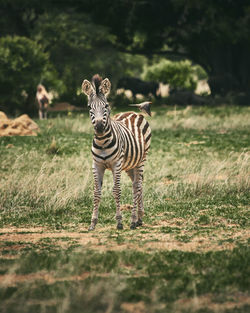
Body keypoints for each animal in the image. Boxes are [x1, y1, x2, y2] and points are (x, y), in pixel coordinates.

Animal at [82, 73, 151, 229]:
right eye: (89, 107)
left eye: (106, 105)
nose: (99, 127)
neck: (102, 142)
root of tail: (132, 112)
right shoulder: (97, 165)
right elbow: (96, 192)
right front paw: (93, 222)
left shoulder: (116, 165)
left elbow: (116, 190)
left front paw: (119, 221)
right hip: (131, 165)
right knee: (137, 184)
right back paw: (139, 218)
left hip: (142, 159)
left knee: (137, 185)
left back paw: (133, 220)